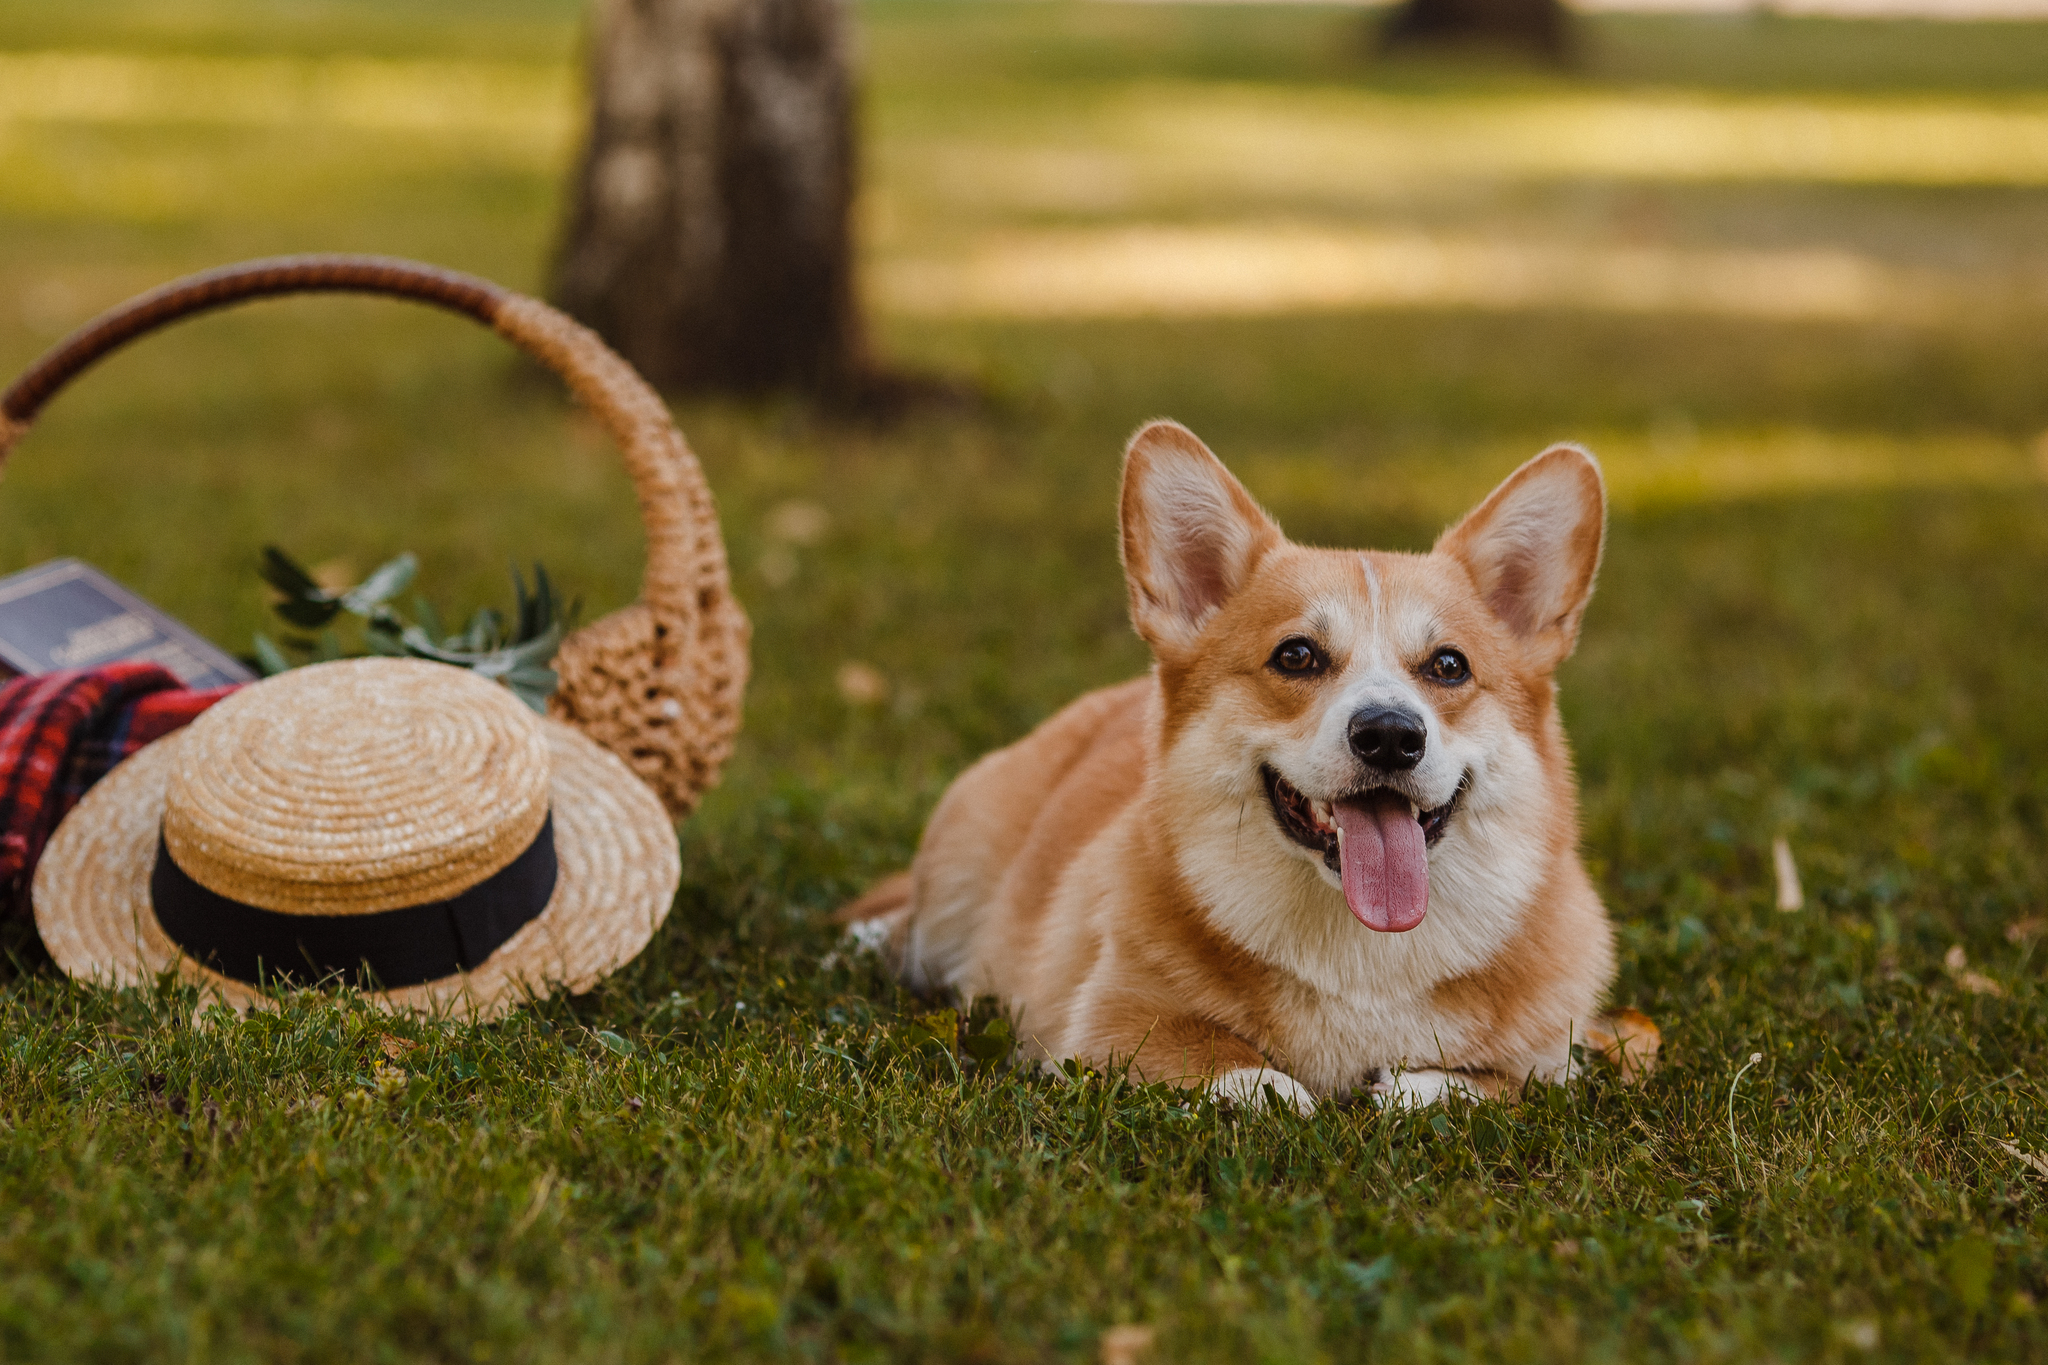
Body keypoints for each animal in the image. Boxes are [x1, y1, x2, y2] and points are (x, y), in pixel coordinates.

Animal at [839, 419, 1622, 1113]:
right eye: (1296, 655)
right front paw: (1285, 1093)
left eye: (1450, 666)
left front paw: (1407, 1088)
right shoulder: (1107, 1025)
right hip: (955, 872)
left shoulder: (1557, 1059)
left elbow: (1490, 1084)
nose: (1391, 736)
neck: (1359, 951)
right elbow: (1239, 1070)